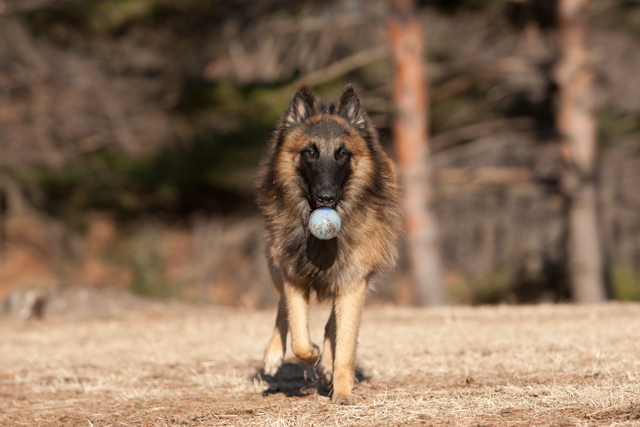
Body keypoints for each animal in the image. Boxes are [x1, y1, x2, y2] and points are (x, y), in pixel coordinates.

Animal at [255, 83, 400, 404]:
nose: (326, 198)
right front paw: (312, 353)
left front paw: (341, 389)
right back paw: (274, 356)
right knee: (283, 307)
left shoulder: (353, 281)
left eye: (342, 153)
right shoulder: (293, 275)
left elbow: (344, 342)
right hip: (276, 263)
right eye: (310, 152)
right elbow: (299, 339)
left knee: (334, 323)